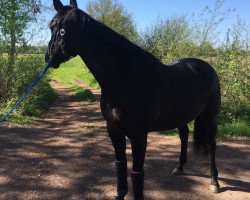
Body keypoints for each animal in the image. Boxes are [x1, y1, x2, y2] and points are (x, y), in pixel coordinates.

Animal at [45, 0, 221, 199]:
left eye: (55, 27)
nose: (48, 57)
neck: (125, 78)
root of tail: (208, 68)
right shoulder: (113, 130)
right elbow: (120, 164)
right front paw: (120, 194)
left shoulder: (139, 135)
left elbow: (137, 173)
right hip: (181, 116)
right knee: (184, 135)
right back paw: (179, 167)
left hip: (210, 117)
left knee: (211, 145)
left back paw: (214, 182)